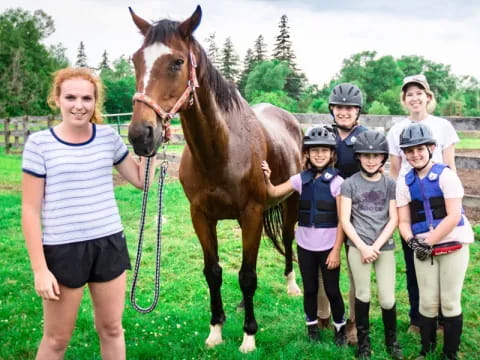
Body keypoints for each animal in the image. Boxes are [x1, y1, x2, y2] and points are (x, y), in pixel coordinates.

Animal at [125, 5, 302, 352]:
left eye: (178, 61)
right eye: (136, 60)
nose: (141, 135)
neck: (223, 150)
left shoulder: (250, 214)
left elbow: (247, 276)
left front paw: (248, 336)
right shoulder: (201, 216)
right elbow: (214, 272)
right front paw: (216, 330)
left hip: (291, 205)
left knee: (288, 240)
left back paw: (292, 286)